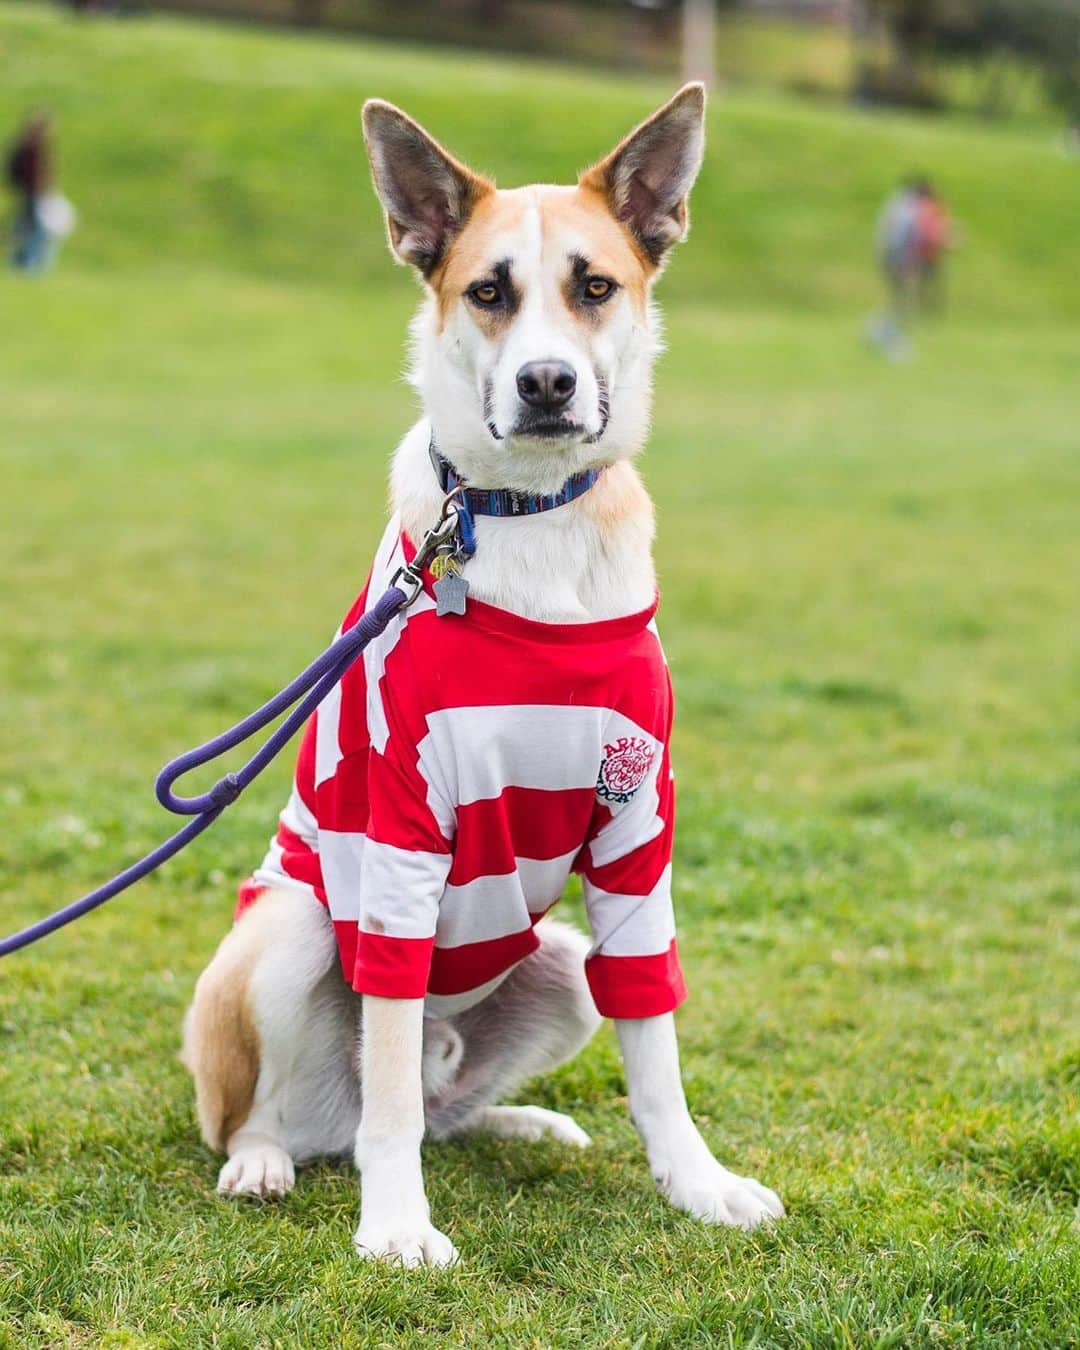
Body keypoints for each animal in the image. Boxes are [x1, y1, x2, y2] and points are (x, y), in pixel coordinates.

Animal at [180, 81, 783, 1263]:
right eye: (488, 292)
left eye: (595, 286)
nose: (547, 383)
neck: (526, 518)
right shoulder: (402, 831)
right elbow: (392, 1089)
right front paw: (397, 1226)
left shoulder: (637, 827)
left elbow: (655, 1038)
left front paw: (696, 1182)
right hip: (286, 931)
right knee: (307, 1108)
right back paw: (266, 1161)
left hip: (556, 963)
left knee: (444, 1101)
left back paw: (524, 1122)